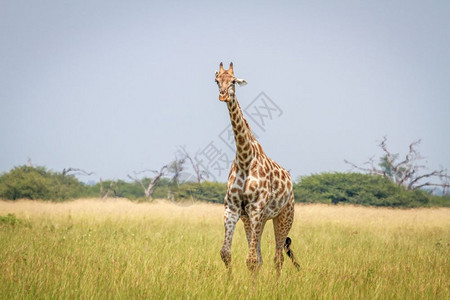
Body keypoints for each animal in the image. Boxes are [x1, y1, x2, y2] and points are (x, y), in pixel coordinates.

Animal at [214, 61, 298, 274]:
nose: (223, 95)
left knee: (278, 257)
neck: (245, 159)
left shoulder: (257, 209)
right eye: (217, 80)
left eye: (233, 81)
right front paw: (230, 281)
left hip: (284, 216)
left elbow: (251, 259)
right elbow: (226, 253)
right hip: (254, 219)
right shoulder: (233, 209)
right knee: (261, 257)